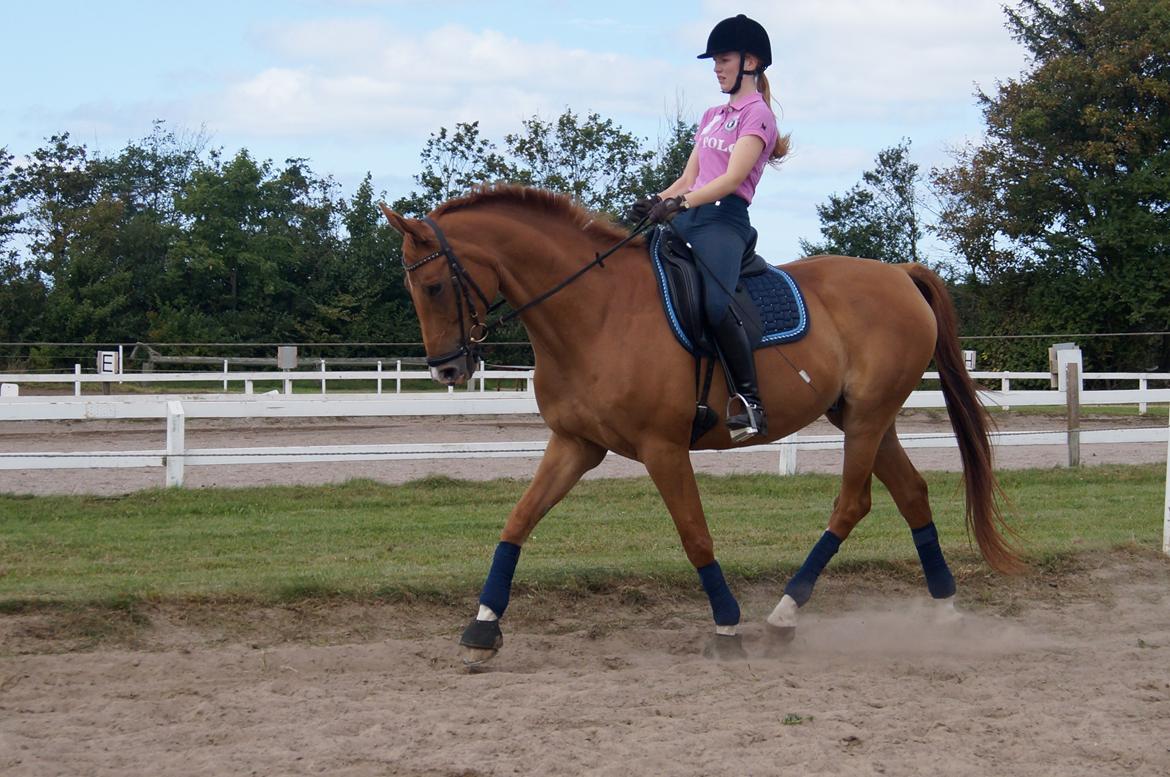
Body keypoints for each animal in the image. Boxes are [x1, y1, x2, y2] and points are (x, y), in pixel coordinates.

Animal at [379, 183, 1020, 659]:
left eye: (432, 285)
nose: (447, 369)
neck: (595, 313)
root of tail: (898, 274)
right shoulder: (575, 444)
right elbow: (518, 520)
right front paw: (483, 625)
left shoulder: (662, 448)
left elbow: (694, 533)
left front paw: (727, 627)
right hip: (867, 419)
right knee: (911, 494)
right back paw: (944, 612)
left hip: (866, 420)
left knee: (852, 504)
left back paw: (783, 616)